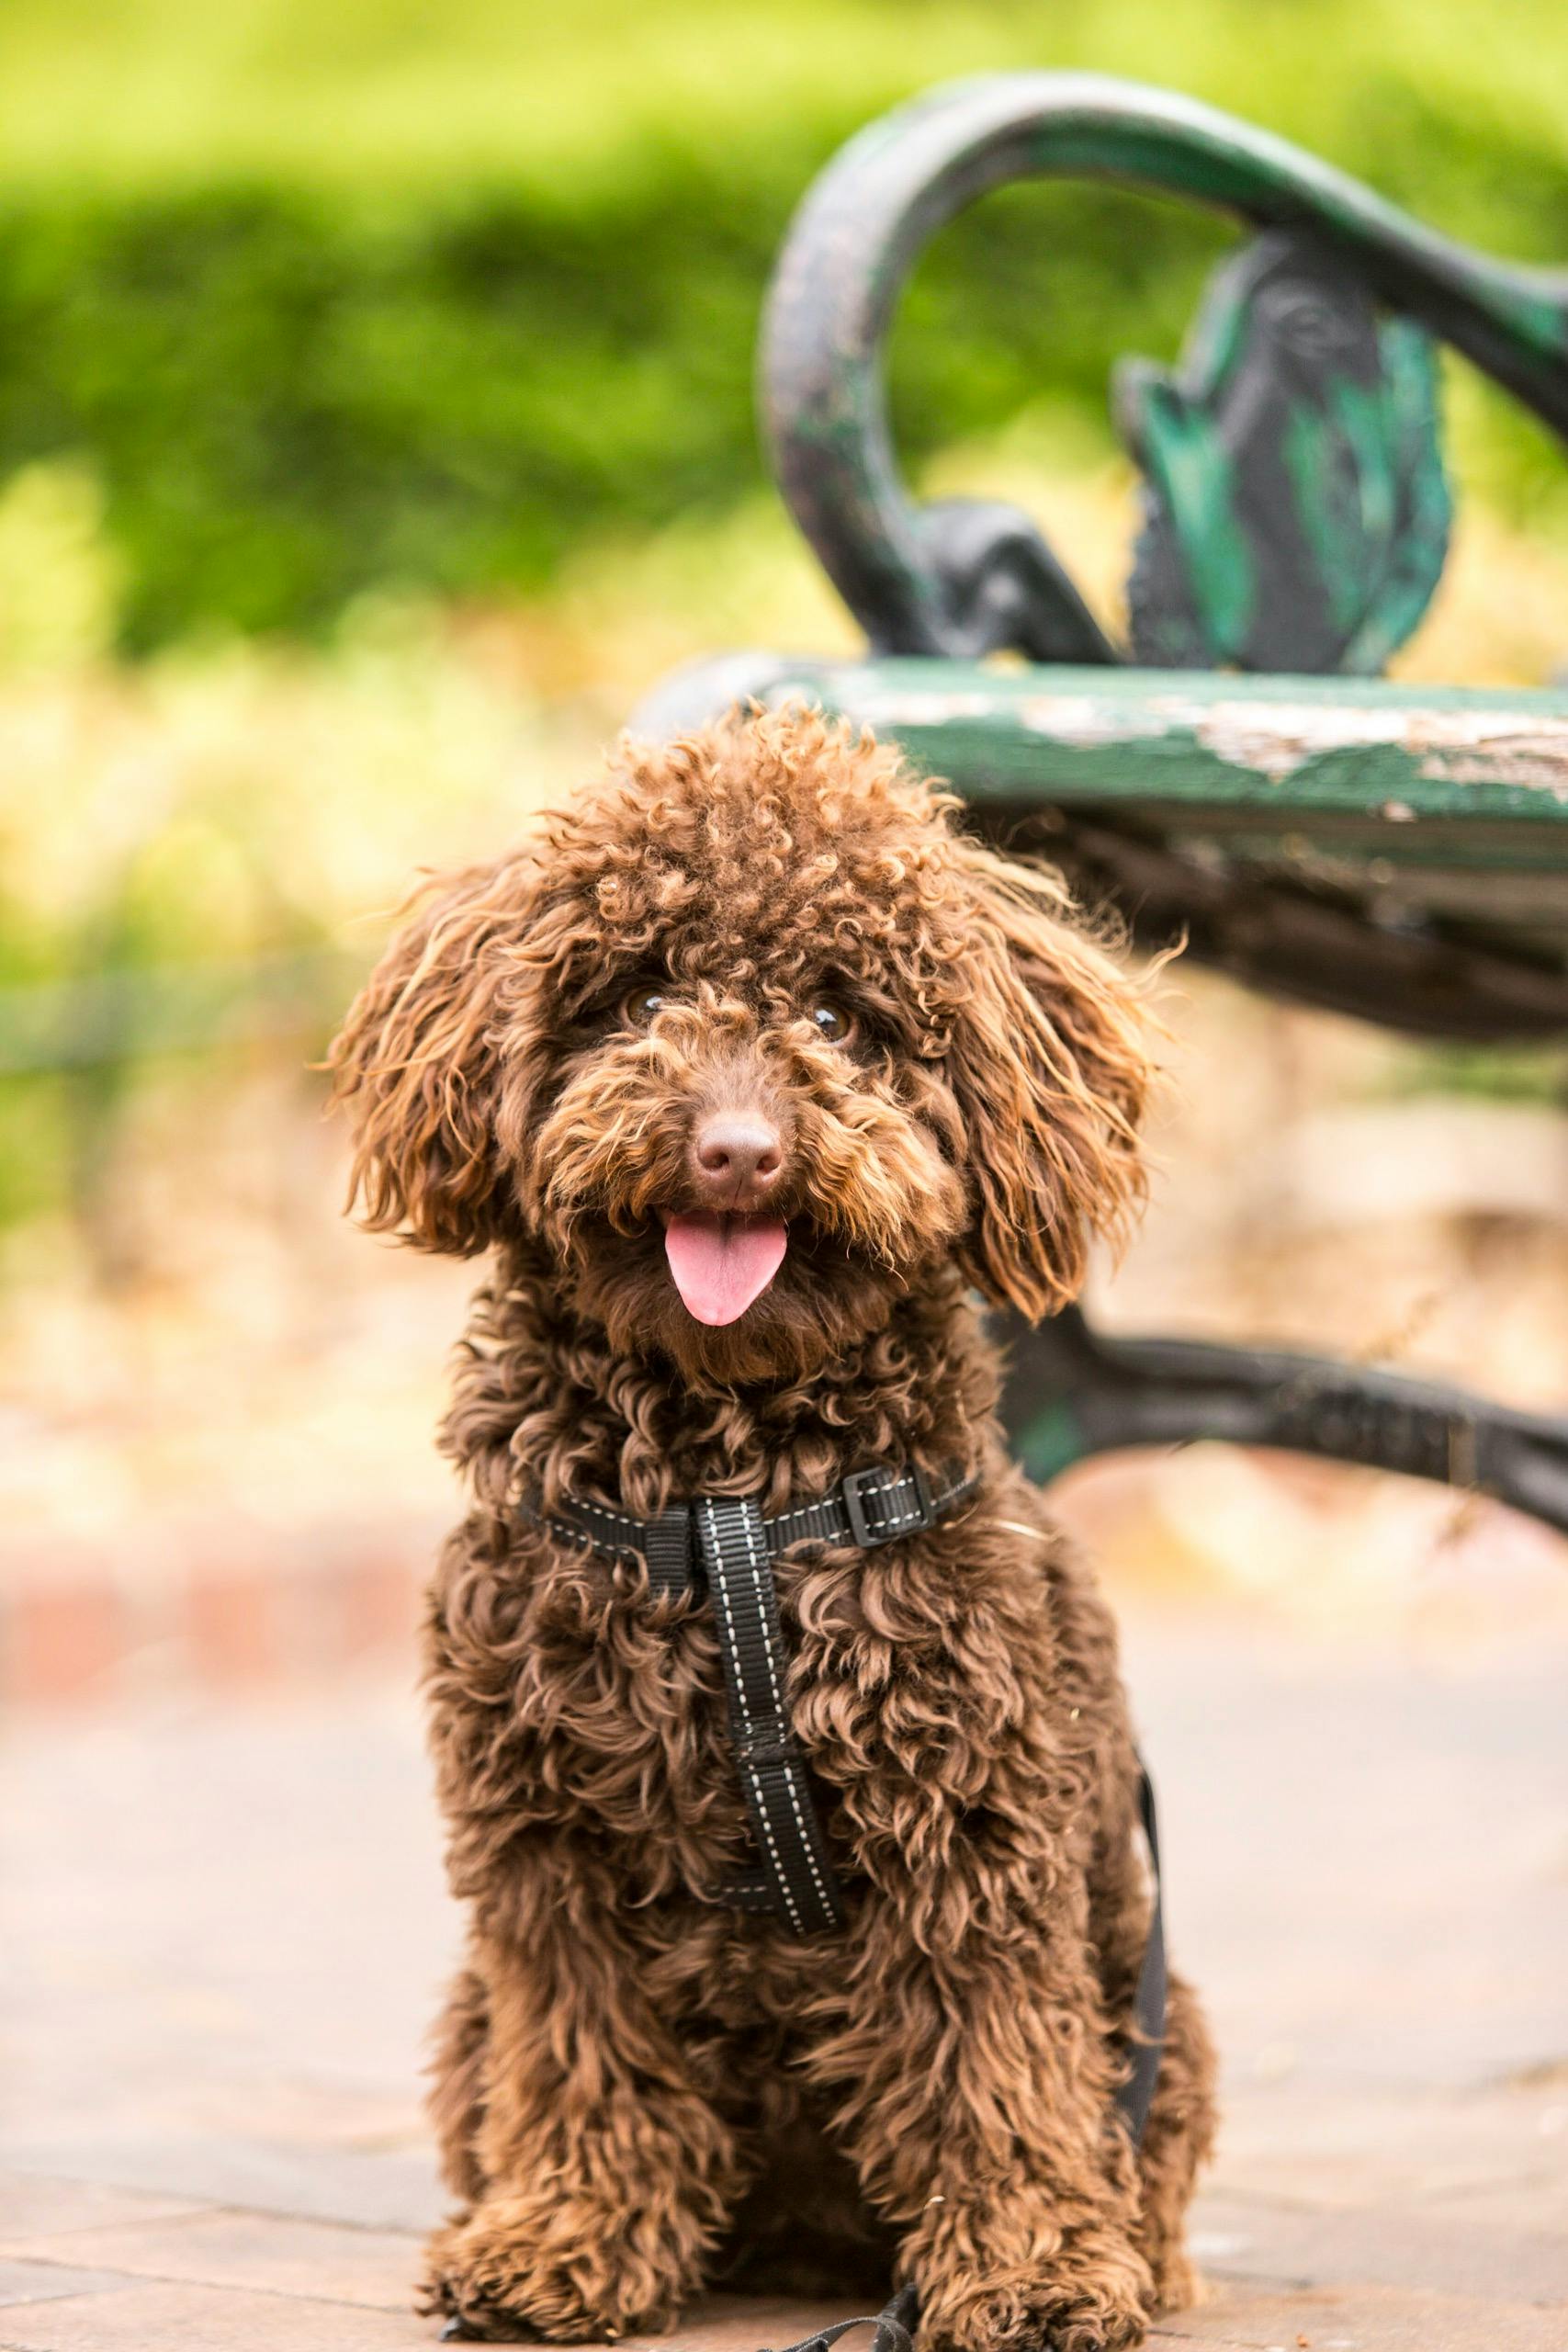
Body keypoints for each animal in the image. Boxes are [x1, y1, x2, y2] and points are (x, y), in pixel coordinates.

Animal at [329, 710, 1213, 2352]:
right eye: (637, 996)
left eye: (836, 1013)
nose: (733, 1149)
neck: (724, 1500)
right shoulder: (542, 1855)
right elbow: (587, 2058)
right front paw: (564, 2240)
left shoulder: (968, 1832)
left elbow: (993, 2068)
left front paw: (1033, 2270)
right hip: (467, 2019)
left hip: (1156, 2005)